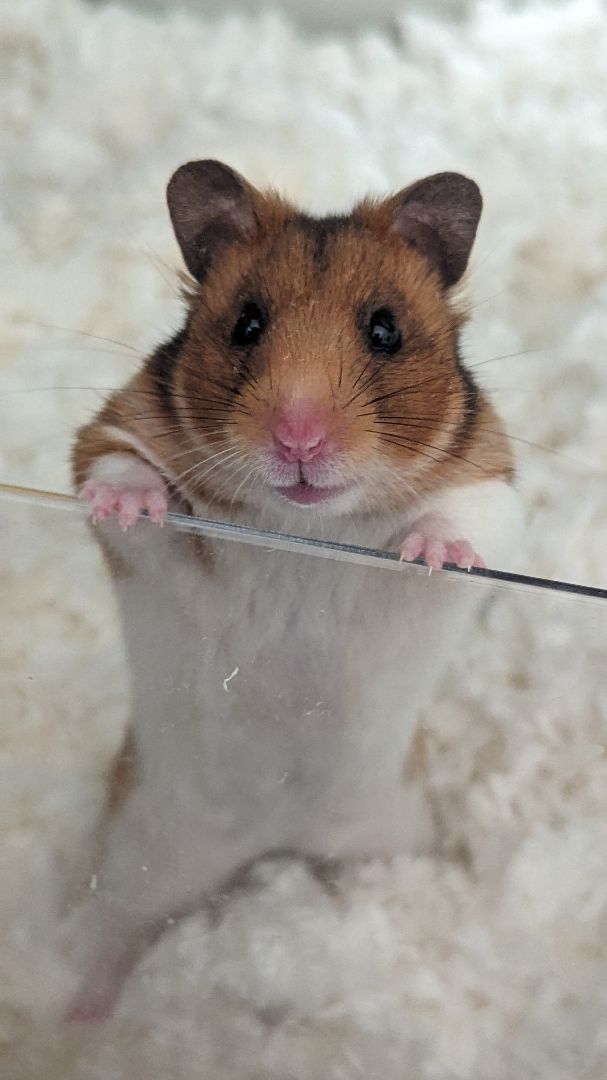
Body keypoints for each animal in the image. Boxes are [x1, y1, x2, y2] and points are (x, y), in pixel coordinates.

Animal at [66, 161, 521, 1021]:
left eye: (384, 330)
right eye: (246, 324)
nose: (299, 441)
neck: (299, 526)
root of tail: (270, 841)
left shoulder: (489, 479)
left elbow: (462, 521)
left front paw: (424, 552)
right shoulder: (113, 429)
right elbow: (116, 471)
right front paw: (132, 504)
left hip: (388, 832)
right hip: (143, 860)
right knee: (111, 934)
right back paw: (80, 1019)